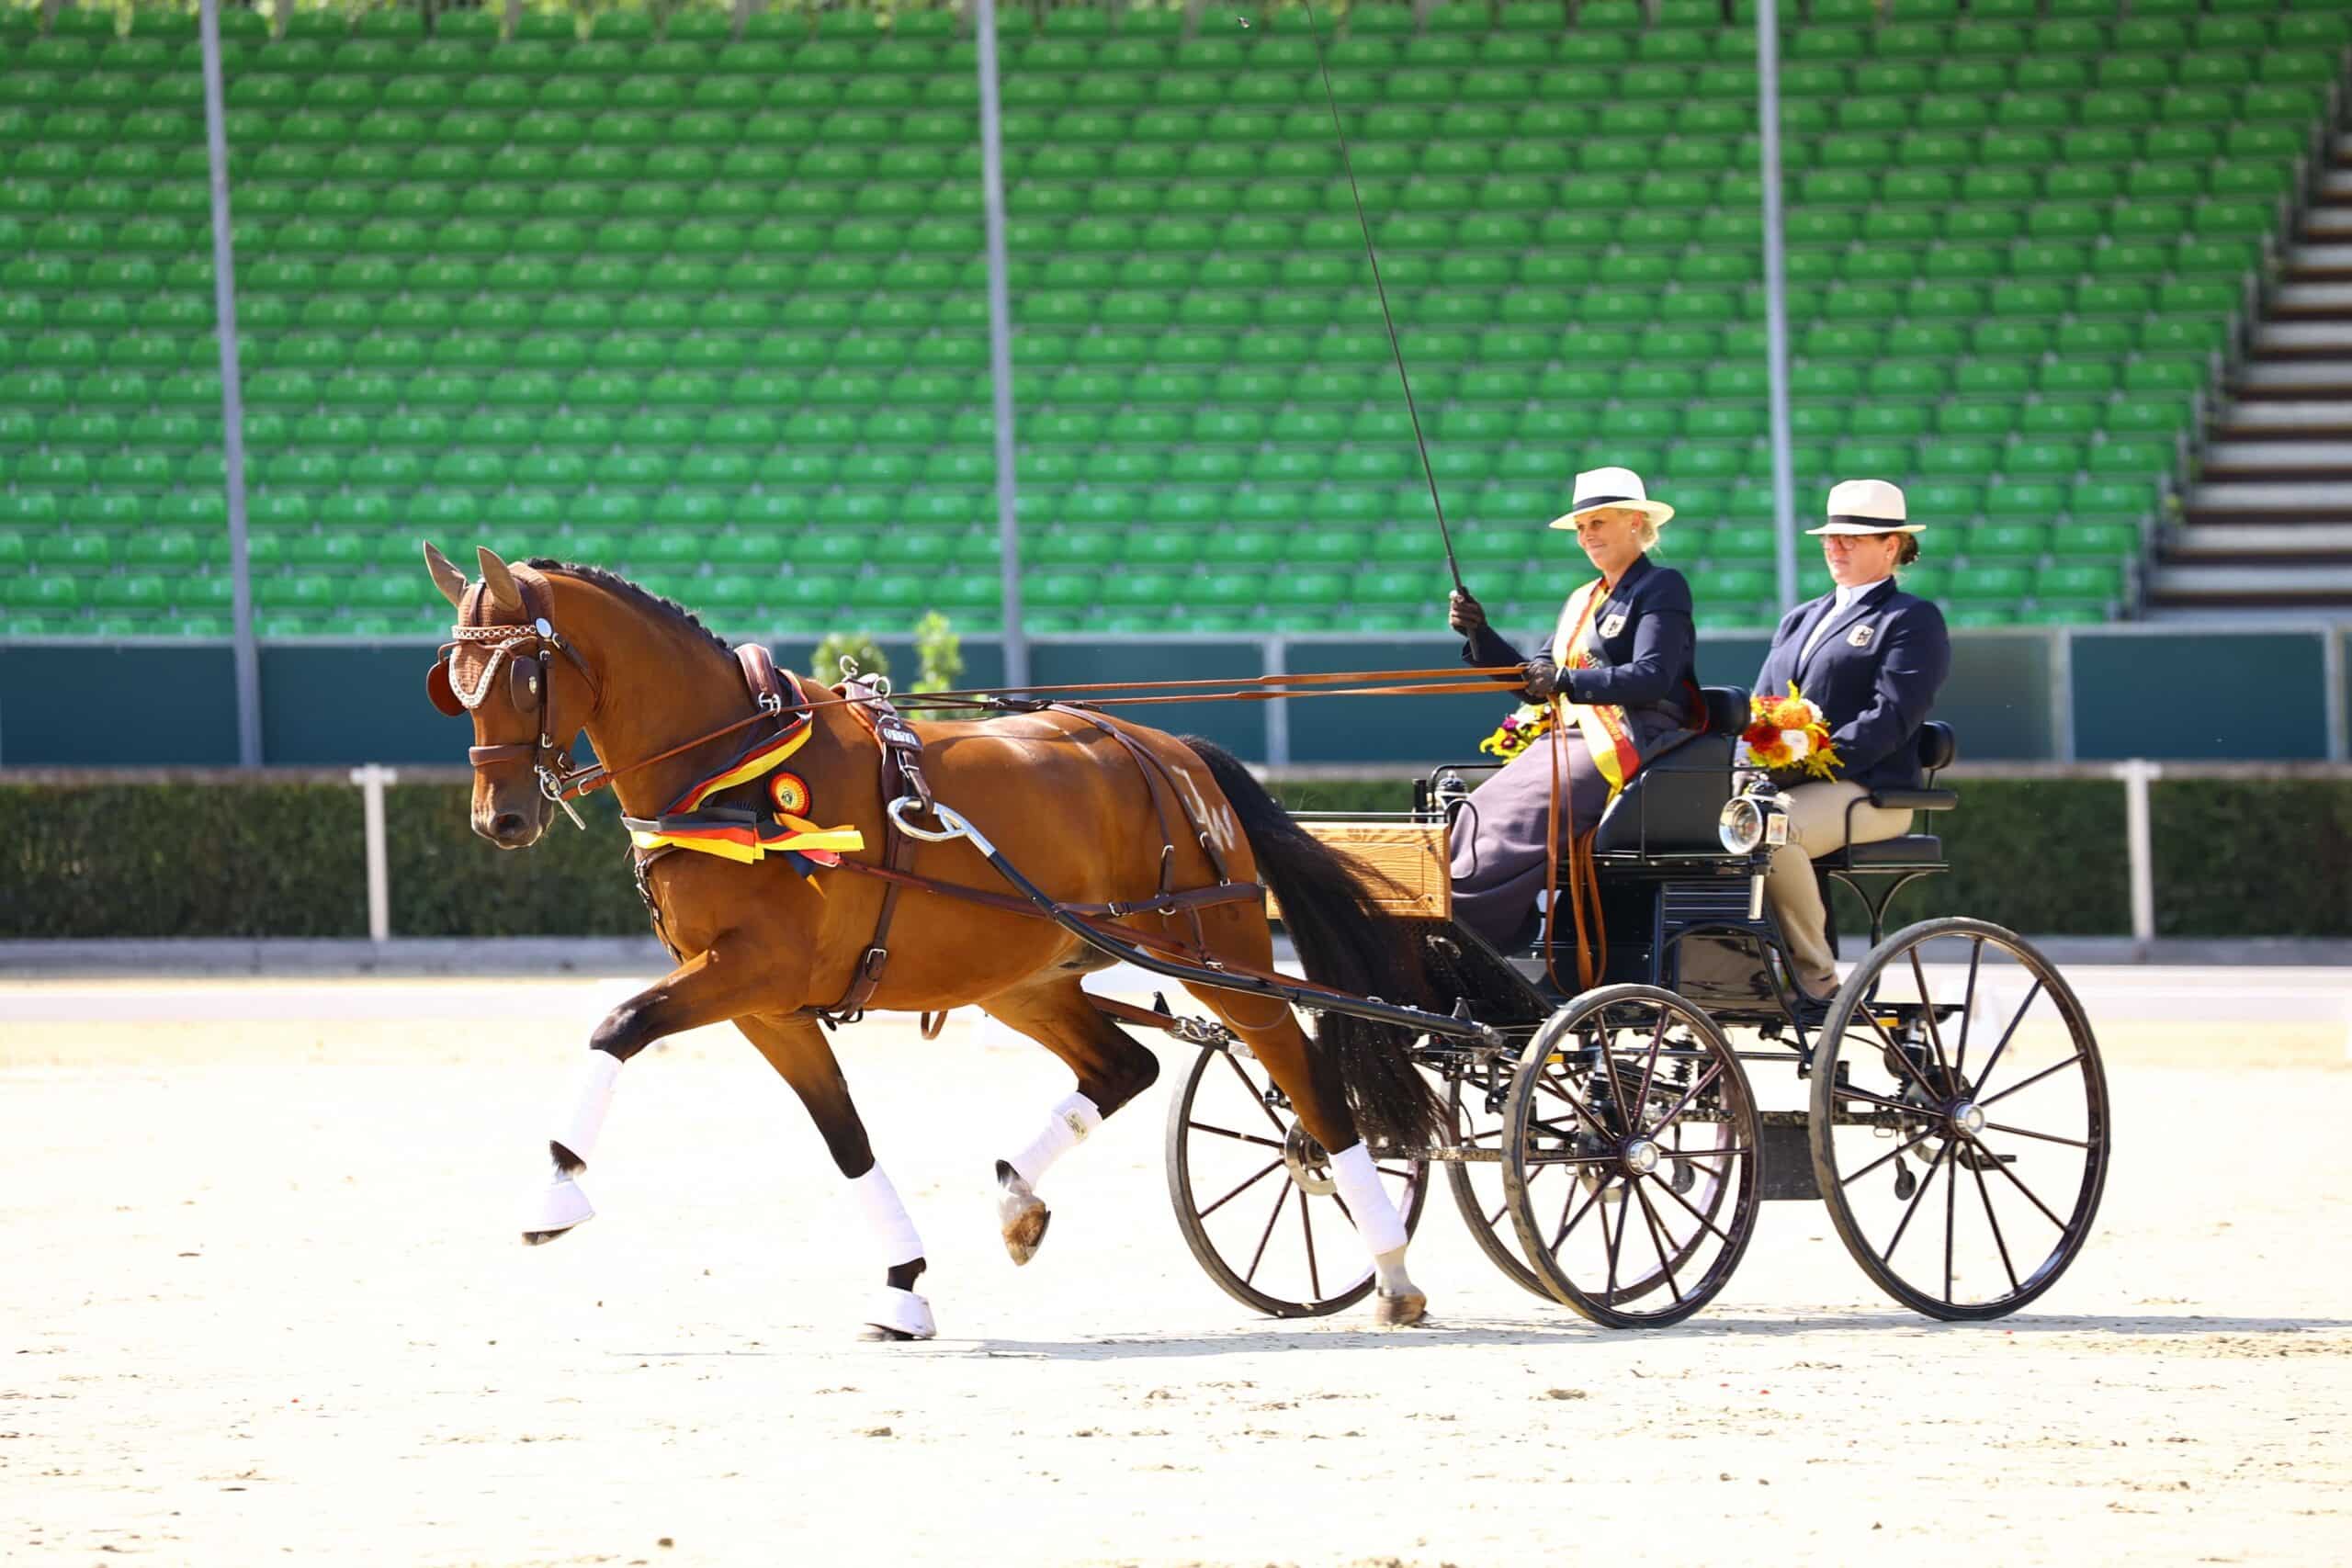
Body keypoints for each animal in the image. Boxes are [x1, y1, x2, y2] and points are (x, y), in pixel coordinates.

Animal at [427, 543, 1448, 1335]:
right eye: (455, 684)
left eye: (524, 676)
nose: (498, 819)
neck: (732, 770)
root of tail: (1170, 751)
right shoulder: (765, 1004)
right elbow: (845, 1137)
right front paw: (904, 1286)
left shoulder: (750, 971)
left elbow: (618, 1026)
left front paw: (554, 1188)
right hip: (1026, 975)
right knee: (1127, 1066)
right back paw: (1017, 1197)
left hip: (1221, 960)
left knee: (1309, 1084)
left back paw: (1392, 1266)